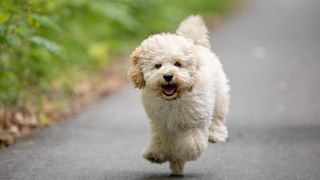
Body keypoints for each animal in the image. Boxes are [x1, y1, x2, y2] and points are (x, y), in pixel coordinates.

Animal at [127, 15, 230, 176]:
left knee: (218, 117)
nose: (168, 76)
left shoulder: (194, 122)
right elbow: (161, 140)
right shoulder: (162, 125)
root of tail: (195, 43)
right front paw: (157, 154)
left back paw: (215, 134)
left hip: (219, 96)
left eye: (178, 64)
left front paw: (181, 155)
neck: (173, 100)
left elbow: (191, 145)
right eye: (158, 65)